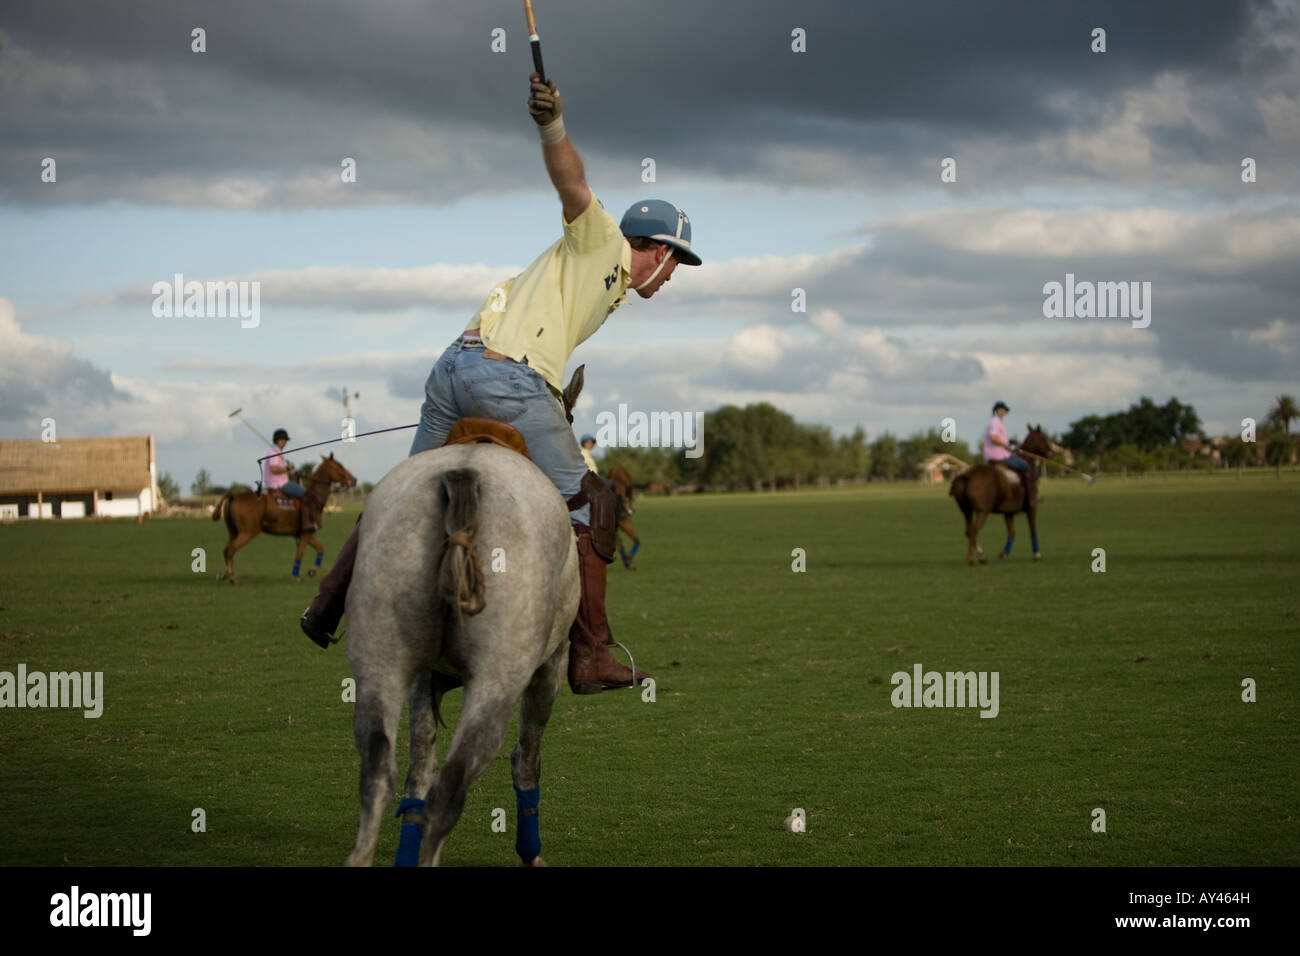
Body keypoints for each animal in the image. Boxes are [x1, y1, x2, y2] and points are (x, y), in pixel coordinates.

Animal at [213, 455, 356, 582]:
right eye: (340, 466)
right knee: (231, 550)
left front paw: (312, 571)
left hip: (233, 532)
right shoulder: (306, 533)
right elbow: (300, 553)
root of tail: (234, 496)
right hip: (248, 532)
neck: (314, 499)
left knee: (226, 549)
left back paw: (224, 574)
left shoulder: (303, 534)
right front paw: (296, 576)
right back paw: (232, 577)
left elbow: (320, 549)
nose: (354, 479)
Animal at [343, 442, 577, 868]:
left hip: (379, 659)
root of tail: (463, 473)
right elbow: (527, 758)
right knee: (451, 786)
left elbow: (419, 769)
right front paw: (531, 853)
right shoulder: (551, 665)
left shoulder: (422, 676)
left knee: (377, 768)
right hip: (497, 679)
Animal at [951, 426, 1050, 567]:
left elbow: (1011, 532)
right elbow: (1033, 529)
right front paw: (1037, 554)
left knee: (969, 531)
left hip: (966, 510)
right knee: (974, 530)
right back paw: (971, 559)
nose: (1051, 452)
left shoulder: (1008, 512)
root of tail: (966, 475)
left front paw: (1003, 554)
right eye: (1043, 437)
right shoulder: (1031, 507)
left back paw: (982, 556)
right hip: (983, 511)